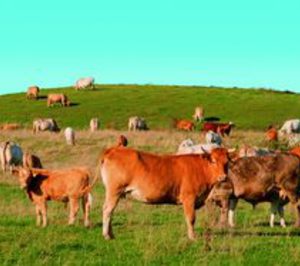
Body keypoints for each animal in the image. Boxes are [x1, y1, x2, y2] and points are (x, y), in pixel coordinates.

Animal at [99, 147, 229, 240]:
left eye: (227, 162)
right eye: (213, 161)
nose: (223, 177)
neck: (202, 168)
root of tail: (114, 149)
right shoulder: (189, 198)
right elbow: (191, 218)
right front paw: (192, 237)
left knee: (110, 211)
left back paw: (111, 234)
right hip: (114, 191)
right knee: (107, 210)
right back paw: (107, 235)